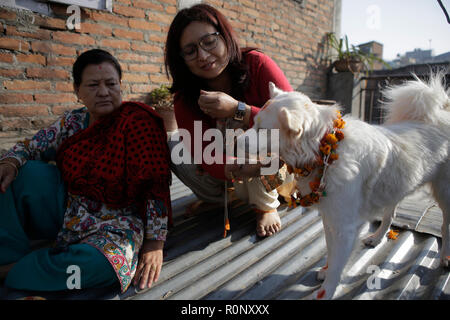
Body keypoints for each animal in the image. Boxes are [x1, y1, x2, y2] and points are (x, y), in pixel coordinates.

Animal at [237, 74, 448, 300]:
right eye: (253, 123)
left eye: (262, 130)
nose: (236, 140)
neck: (323, 150)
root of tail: (441, 115)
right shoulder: (329, 219)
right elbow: (331, 253)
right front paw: (326, 270)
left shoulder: (345, 228)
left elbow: (338, 266)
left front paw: (327, 290)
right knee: (390, 214)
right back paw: (377, 238)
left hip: (444, 193)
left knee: (445, 225)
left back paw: (445, 257)